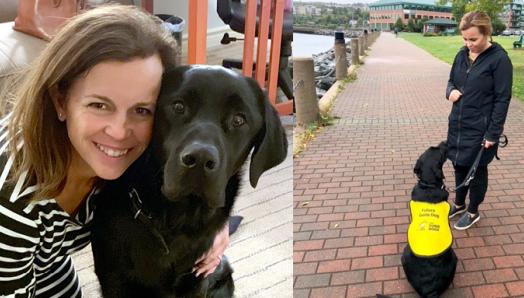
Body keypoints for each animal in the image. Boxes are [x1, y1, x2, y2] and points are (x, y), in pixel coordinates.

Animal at [90, 66, 286, 298]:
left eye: (239, 120)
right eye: (178, 106)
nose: (200, 158)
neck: (173, 222)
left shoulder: (196, 280)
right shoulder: (117, 279)